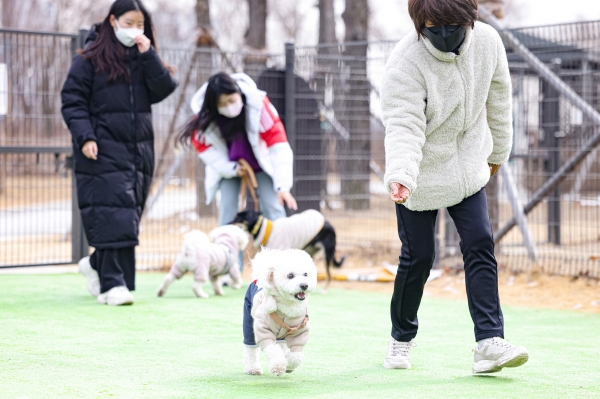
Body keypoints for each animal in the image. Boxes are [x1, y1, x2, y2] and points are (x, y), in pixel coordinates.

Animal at [241, 248, 318, 376]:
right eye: (290, 275)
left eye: (306, 274)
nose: (304, 285)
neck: (287, 307)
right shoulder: (263, 328)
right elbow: (272, 350)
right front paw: (278, 366)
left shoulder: (299, 330)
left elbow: (296, 355)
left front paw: (289, 365)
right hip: (248, 320)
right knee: (251, 348)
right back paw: (253, 368)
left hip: (281, 336)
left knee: (281, 345)